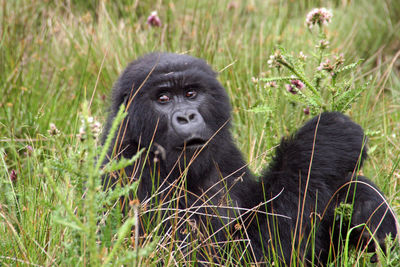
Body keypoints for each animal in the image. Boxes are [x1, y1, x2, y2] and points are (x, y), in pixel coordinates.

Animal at [102, 52, 396, 266]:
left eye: (190, 93)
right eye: (162, 98)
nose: (186, 116)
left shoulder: (226, 154)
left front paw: (366, 204)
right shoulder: (130, 172)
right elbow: (232, 256)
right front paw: (323, 142)